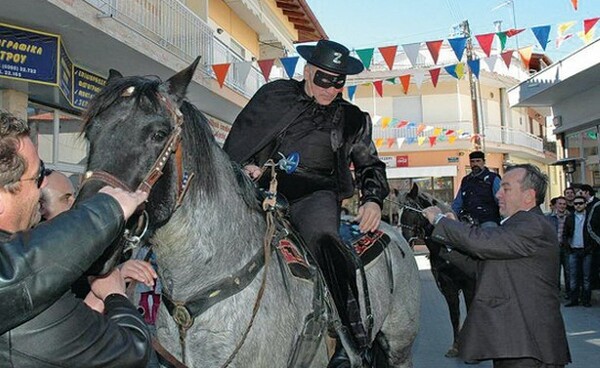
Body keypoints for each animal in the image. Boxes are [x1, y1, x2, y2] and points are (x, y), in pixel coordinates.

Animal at [396, 183, 476, 356]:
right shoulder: (448, 287)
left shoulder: (469, 286)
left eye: (411, 208)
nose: (405, 240)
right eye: (397, 213)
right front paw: (455, 346)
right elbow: (454, 315)